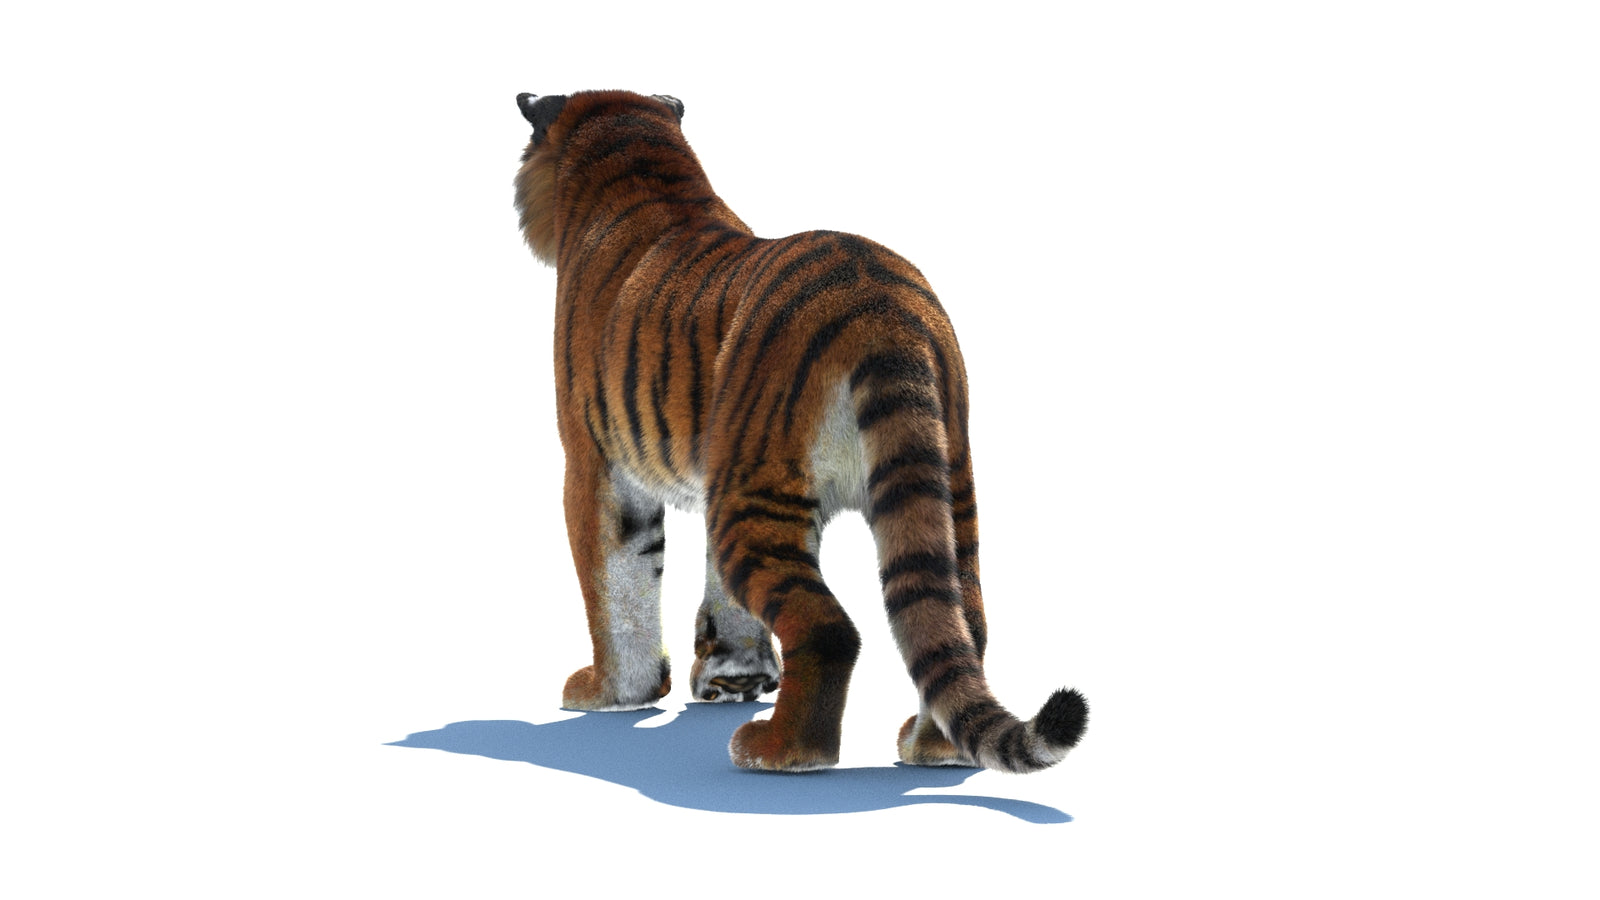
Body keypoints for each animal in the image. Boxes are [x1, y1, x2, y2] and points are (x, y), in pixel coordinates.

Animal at [513, 89, 1088, 773]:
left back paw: (781, 751)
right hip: (948, 483)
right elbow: (718, 601)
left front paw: (610, 692)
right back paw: (932, 749)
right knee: (959, 623)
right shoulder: (713, 473)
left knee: (830, 629)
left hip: (754, 497)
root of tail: (882, 305)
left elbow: (616, 588)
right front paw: (732, 679)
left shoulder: (596, 464)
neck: (641, 166)